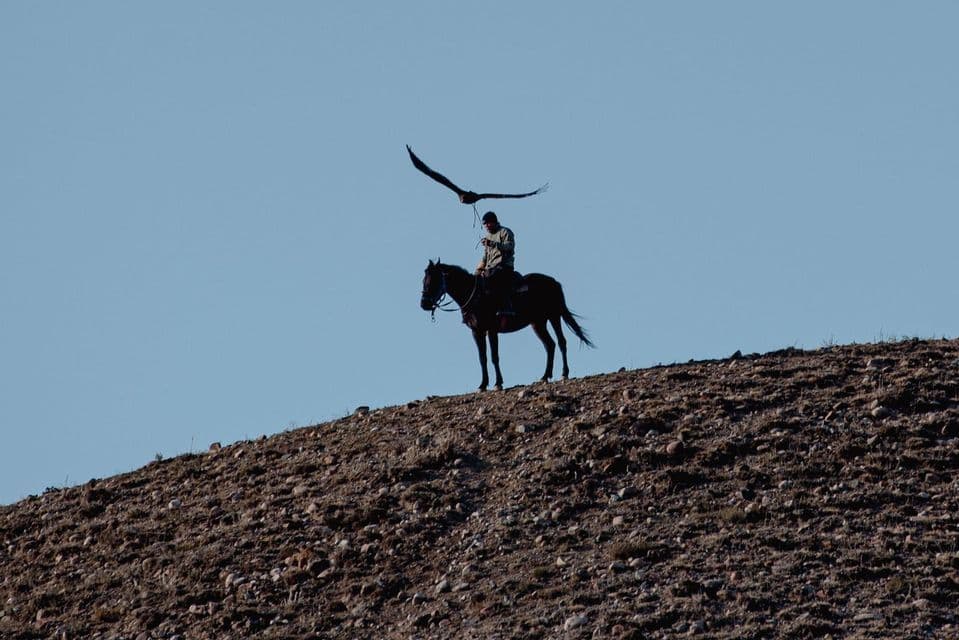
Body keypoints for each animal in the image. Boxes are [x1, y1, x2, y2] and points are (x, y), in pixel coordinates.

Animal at [420, 259, 594, 391]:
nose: (424, 304)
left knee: (561, 342)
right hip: (538, 323)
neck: (475, 296)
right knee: (550, 345)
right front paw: (482, 385)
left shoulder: (491, 330)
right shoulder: (477, 331)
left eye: (434, 280)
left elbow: (494, 357)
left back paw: (564, 374)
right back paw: (544, 376)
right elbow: (482, 358)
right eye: (424, 280)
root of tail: (554, 282)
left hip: (554, 316)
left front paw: (498, 383)